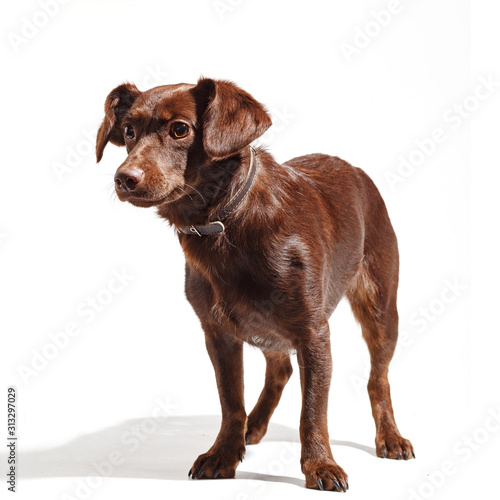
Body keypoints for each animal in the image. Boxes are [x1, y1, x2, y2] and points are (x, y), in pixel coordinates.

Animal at [94, 79, 414, 492]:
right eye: (129, 131)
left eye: (180, 129)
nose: (124, 178)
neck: (224, 222)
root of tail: (356, 169)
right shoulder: (219, 334)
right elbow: (231, 402)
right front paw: (224, 454)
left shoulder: (314, 333)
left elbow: (313, 411)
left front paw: (320, 465)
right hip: (263, 325)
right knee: (280, 368)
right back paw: (254, 425)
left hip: (380, 310)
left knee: (378, 379)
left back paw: (390, 437)